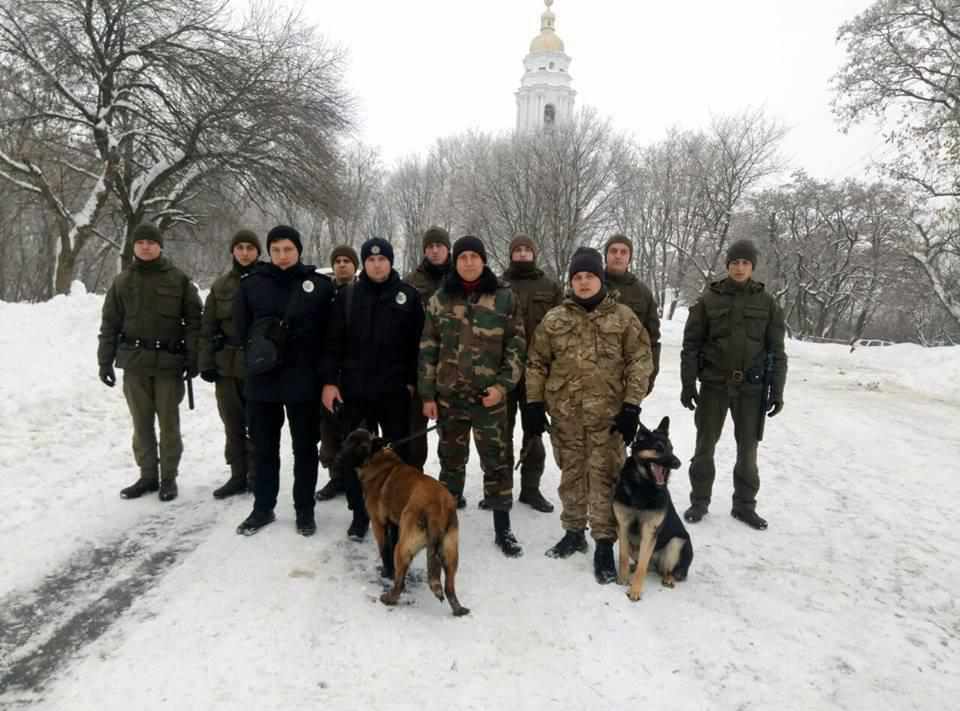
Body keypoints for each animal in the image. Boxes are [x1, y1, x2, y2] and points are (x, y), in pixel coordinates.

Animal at [340, 428, 470, 616]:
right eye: (349, 440)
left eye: (361, 446)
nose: (340, 456)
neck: (377, 458)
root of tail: (436, 508)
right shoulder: (395, 524)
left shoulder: (378, 523)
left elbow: (385, 549)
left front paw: (387, 572)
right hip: (450, 553)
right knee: (449, 587)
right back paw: (458, 609)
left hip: (403, 549)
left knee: (400, 583)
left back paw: (389, 598)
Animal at [616, 414, 688, 604]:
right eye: (658, 448)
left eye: (671, 448)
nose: (678, 463)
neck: (643, 486)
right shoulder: (623, 525)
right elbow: (623, 555)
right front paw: (622, 578)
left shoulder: (650, 531)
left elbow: (642, 565)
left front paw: (635, 591)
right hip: (634, 544)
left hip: (676, 543)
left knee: (664, 569)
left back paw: (668, 578)